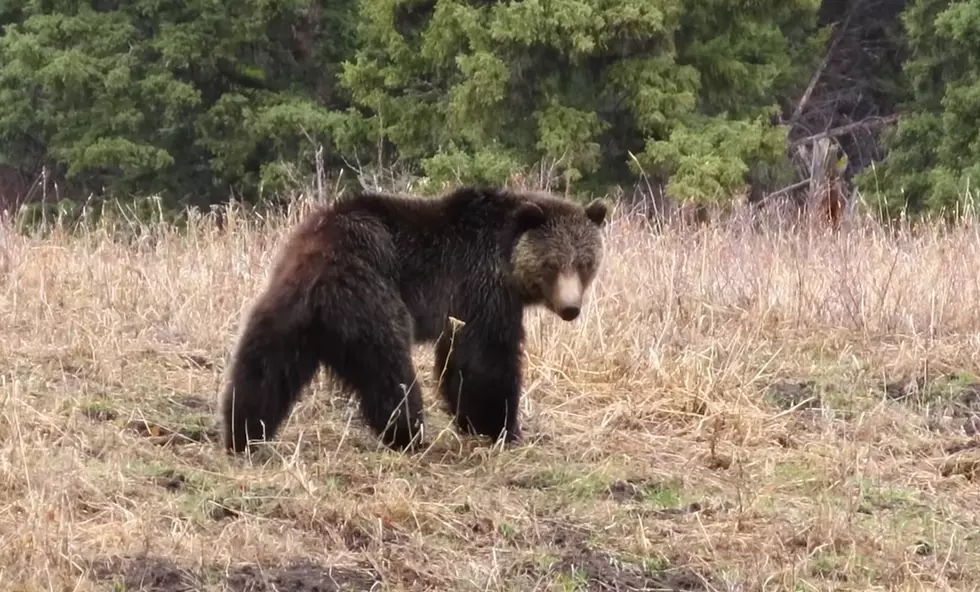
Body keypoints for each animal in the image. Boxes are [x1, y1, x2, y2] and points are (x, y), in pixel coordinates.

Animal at [220, 185, 604, 454]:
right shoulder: (480, 288)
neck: (507, 258)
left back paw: (243, 429)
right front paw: (499, 426)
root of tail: (319, 261)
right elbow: (483, 361)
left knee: (263, 367)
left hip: (286, 307)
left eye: (585, 263)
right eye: (552, 264)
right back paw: (408, 433)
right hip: (371, 295)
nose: (571, 308)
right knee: (389, 369)